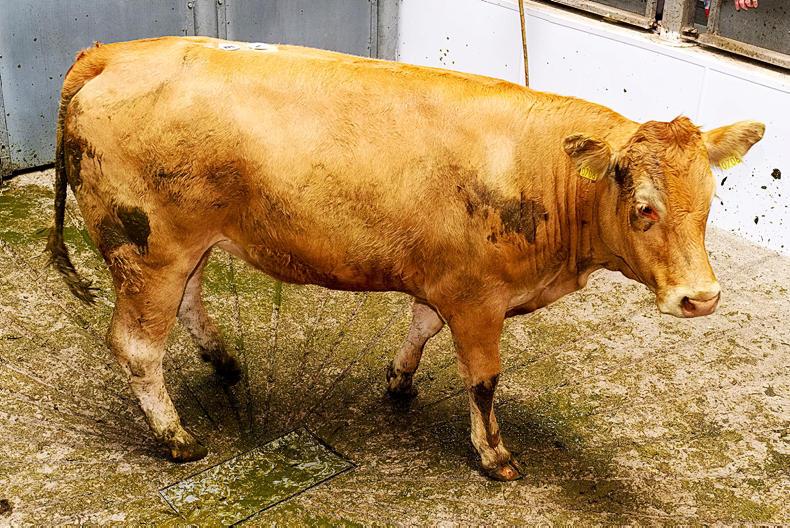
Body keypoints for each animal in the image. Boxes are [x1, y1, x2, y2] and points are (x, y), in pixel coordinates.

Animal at [47, 37, 764, 481]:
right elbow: (483, 380)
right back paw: (176, 438)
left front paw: (399, 380)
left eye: (710, 201)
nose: (701, 297)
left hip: (184, 247)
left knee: (188, 305)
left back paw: (224, 363)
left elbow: (420, 325)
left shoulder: (443, 279)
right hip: (148, 252)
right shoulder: (478, 298)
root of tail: (111, 53)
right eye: (644, 207)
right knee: (138, 345)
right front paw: (494, 455)